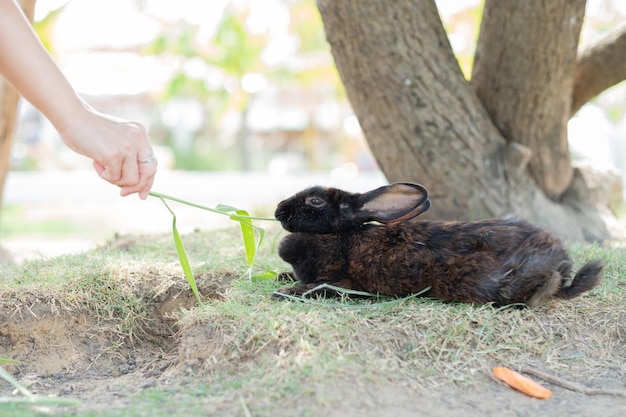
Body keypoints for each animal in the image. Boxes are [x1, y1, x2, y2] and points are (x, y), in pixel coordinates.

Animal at [270, 180, 604, 308]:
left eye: (314, 201)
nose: (277, 211)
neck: (341, 236)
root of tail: (561, 263)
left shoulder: (346, 282)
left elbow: (318, 288)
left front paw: (284, 292)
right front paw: (282, 278)